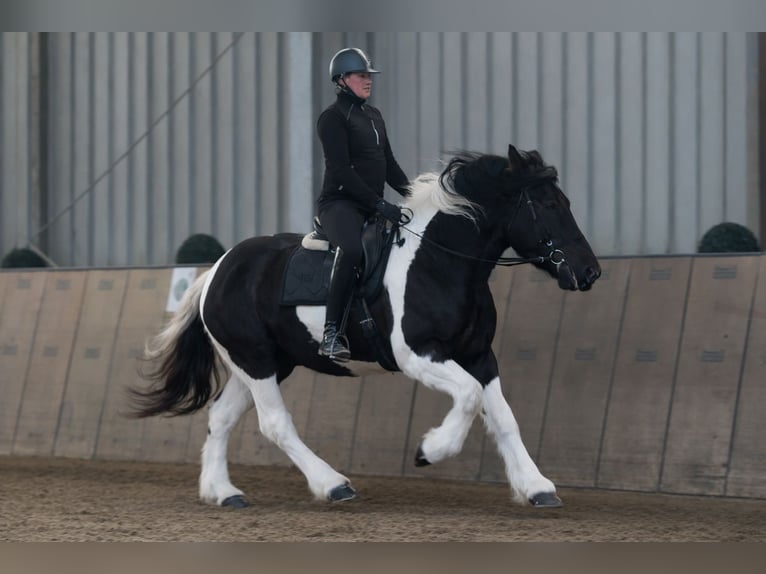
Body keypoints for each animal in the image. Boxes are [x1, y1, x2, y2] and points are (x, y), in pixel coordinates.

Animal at [130, 144, 601, 509]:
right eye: (549, 206)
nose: (589, 272)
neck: (441, 263)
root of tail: (216, 271)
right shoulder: (419, 355)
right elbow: (468, 398)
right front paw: (429, 451)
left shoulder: (479, 355)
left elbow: (503, 417)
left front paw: (536, 487)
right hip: (256, 361)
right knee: (275, 424)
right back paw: (332, 484)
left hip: (265, 364)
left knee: (222, 416)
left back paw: (223, 492)